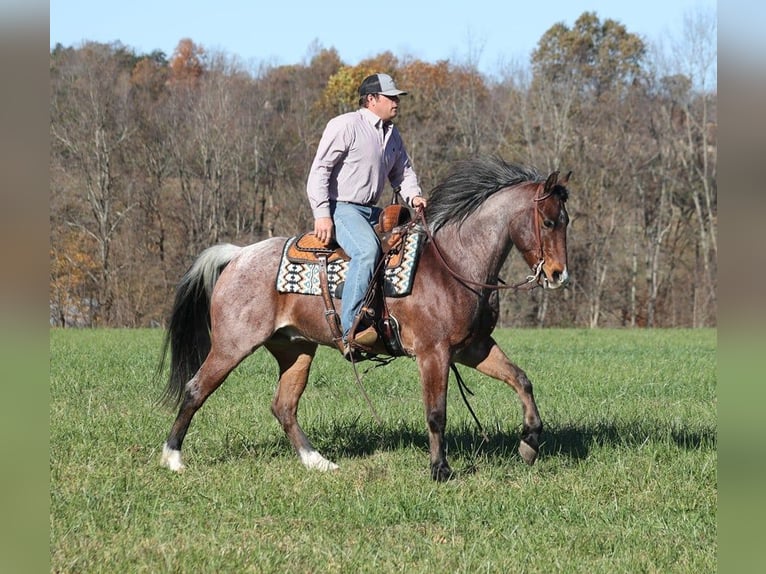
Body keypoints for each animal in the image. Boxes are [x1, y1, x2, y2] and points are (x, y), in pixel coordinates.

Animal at [157, 156, 570, 481]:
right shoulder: (433, 353)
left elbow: (522, 380)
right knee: (196, 389)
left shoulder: (473, 348)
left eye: (566, 221)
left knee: (284, 406)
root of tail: (240, 254)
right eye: (548, 222)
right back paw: (172, 457)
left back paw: (318, 462)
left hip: (296, 349)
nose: (558, 275)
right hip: (232, 345)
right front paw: (440, 469)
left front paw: (530, 443)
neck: (454, 263)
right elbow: (436, 412)